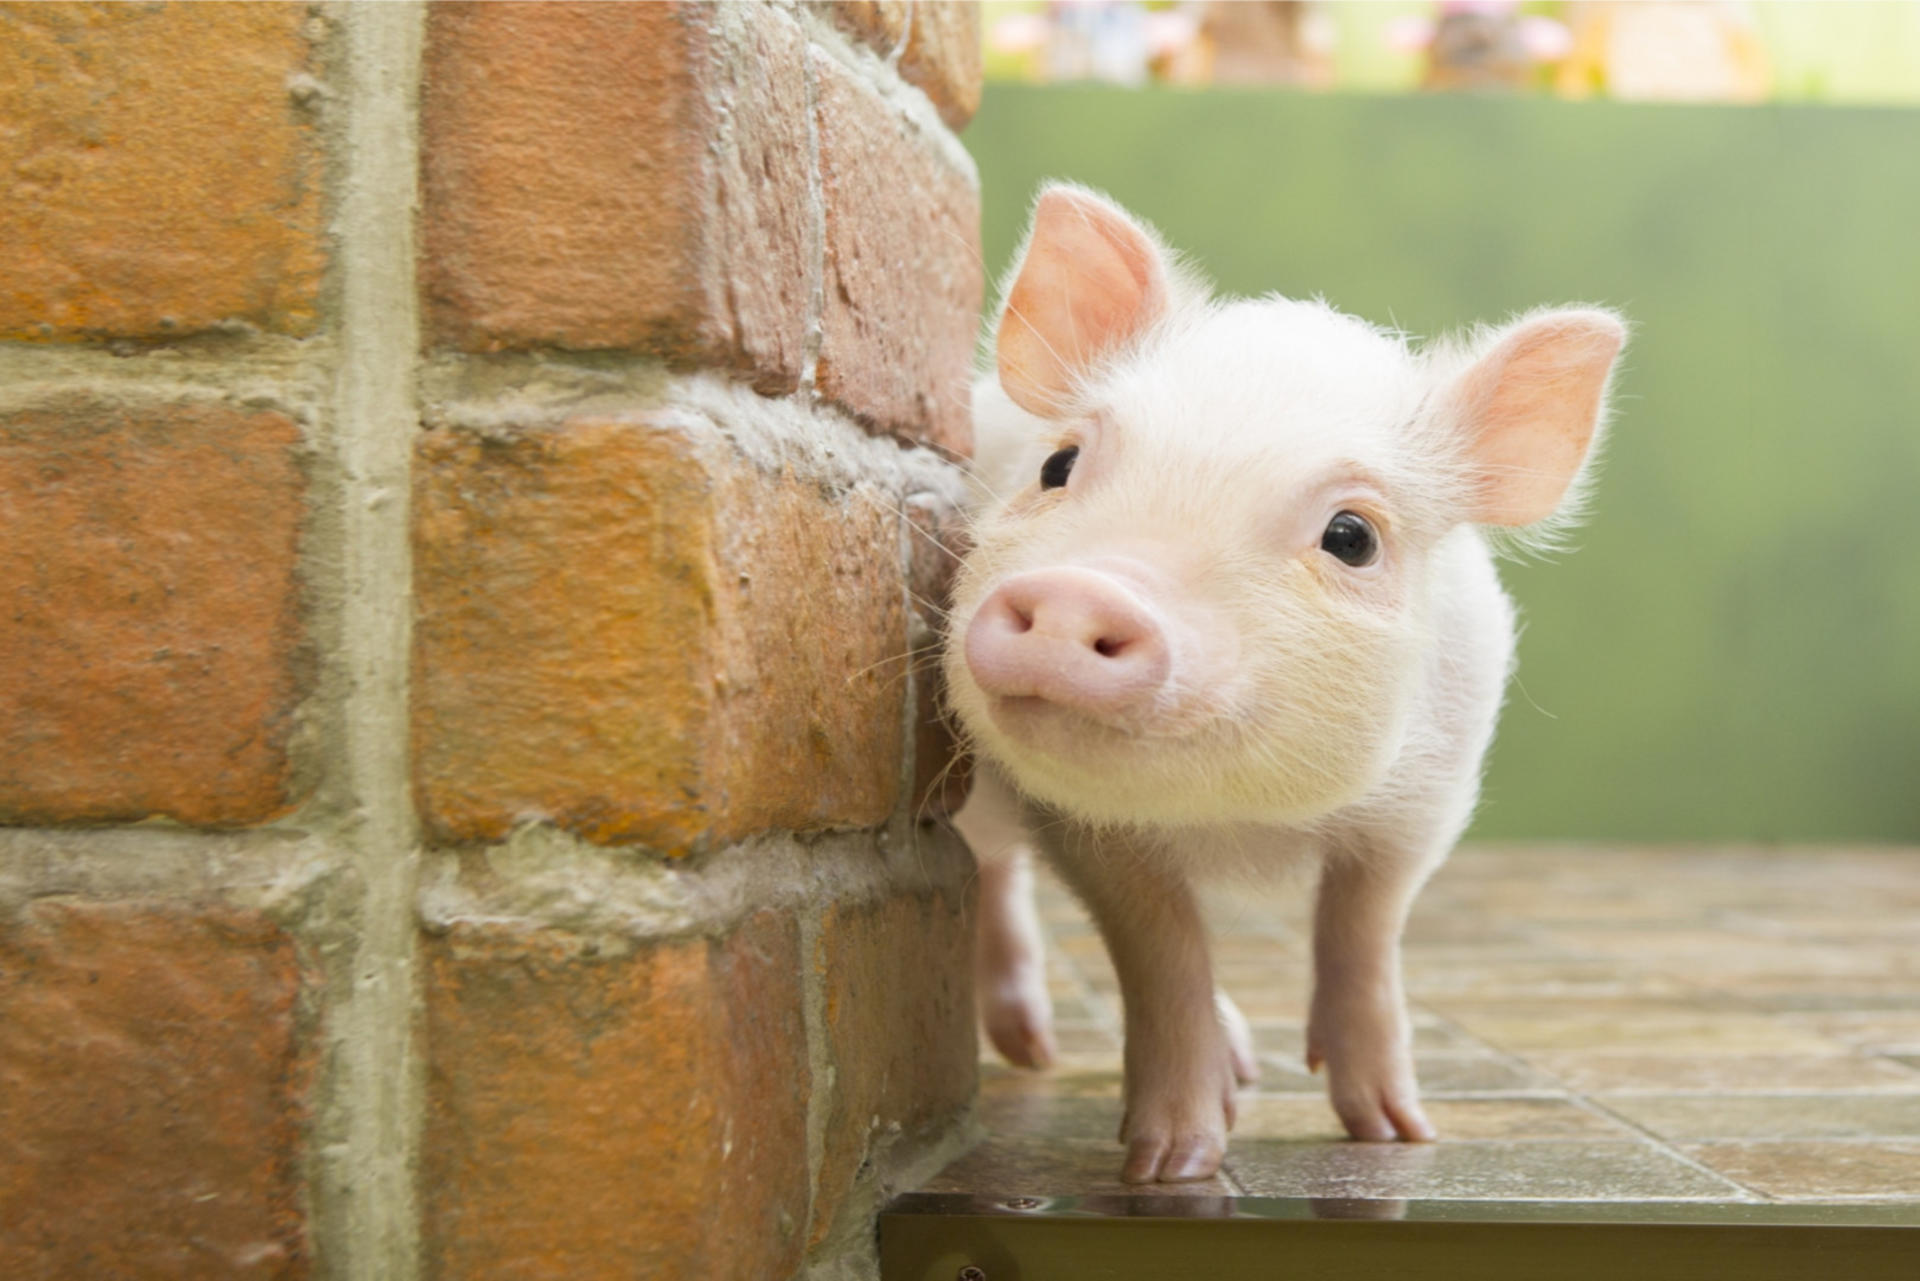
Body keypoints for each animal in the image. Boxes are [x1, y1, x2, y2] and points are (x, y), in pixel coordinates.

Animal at [943, 184, 1625, 1183]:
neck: (1241, 822)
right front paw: (1170, 1167)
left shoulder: (1431, 798)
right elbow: (1161, 951)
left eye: (1352, 536)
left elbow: (1365, 929)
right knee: (991, 867)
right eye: (1058, 465)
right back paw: (1045, 1052)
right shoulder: (1083, 828)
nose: (1080, 592)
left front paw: (1396, 1134)